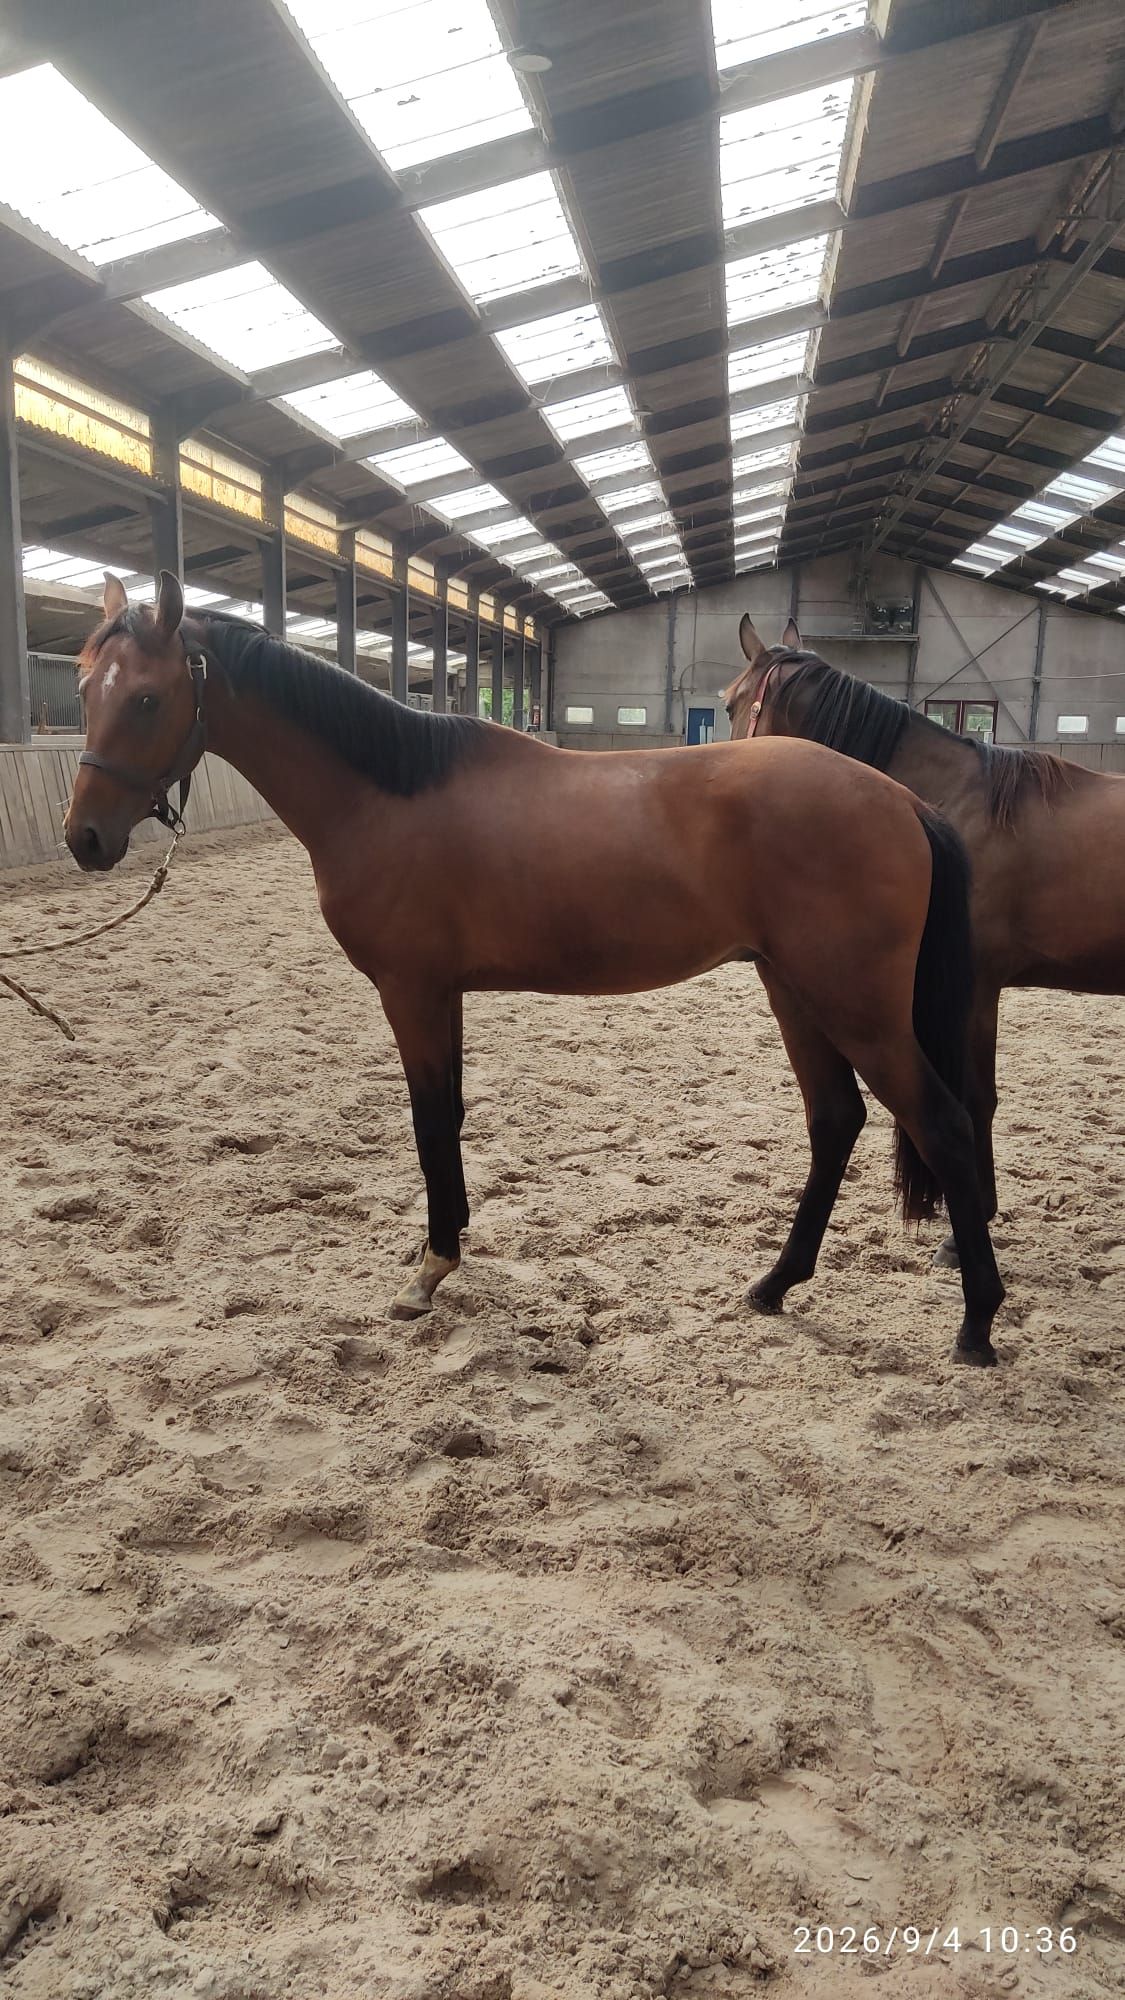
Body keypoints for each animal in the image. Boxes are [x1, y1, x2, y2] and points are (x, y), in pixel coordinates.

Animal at [62, 570, 1005, 1365]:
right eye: (82, 689)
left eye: (146, 697)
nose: (85, 840)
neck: (388, 792)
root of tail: (902, 801)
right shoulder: (440, 993)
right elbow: (448, 1114)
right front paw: (444, 1250)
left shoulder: (410, 992)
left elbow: (429, 1122)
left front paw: (429, 1269)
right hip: (795, 990)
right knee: (835, 1121)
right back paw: (775, 1285)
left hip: (856, 1007)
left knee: (944, 1125)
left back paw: (976, 1324)